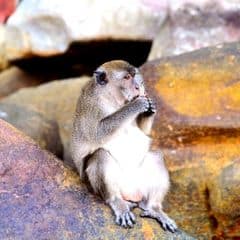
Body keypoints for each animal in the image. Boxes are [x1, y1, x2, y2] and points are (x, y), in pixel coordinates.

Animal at [70, 60, 177, 232]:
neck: (112, 98)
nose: (138, 86)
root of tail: (131, 194)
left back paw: (154, 208)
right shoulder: (92, 106)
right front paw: (136, 105)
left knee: (156, 157)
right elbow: (97, 133)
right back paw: (116, 201)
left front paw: (150, 108)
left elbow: (143, 131)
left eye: (134, 75)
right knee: (100, 155)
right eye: (127, 77)